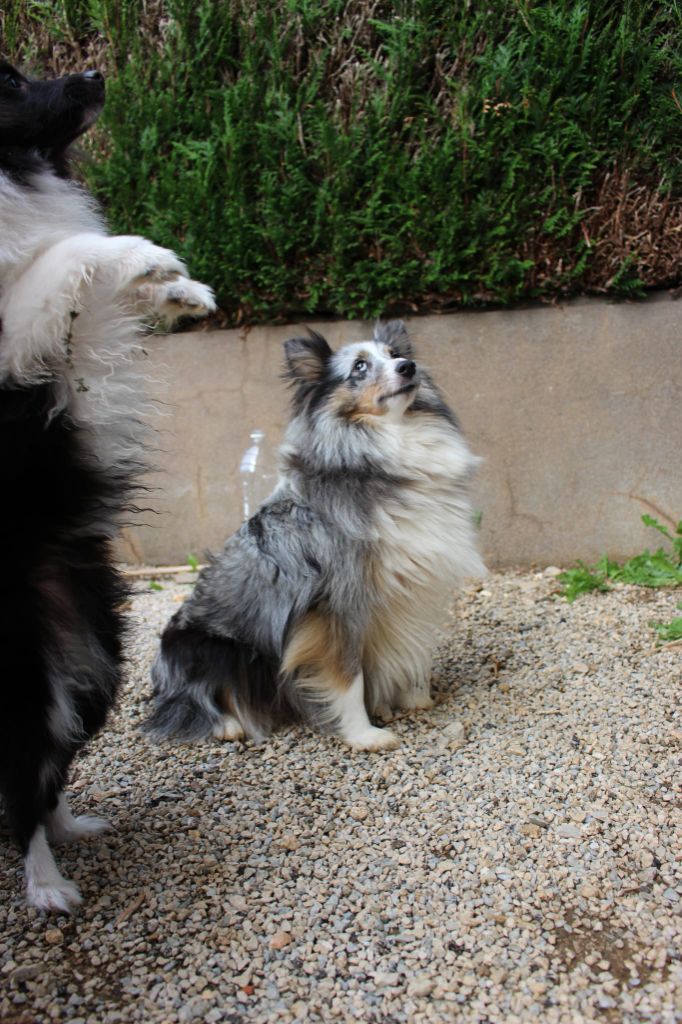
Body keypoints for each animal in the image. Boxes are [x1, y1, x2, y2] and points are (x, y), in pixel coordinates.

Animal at [0, 61, 215, 913]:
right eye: (8, 80)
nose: (95, 71)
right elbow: (64, 251)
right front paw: (149, 254)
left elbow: (74, 270)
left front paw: (177, 289)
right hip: (25, 671)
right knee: (18, 784)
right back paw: (46, 885)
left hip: (96, 658)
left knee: (45, 768)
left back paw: (71, 830)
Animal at [144, 323, 483, 757]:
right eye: (359, 367)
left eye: (393, 354)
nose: (409, 366)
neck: (380, 444)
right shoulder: (336, 605)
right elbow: (349, 675)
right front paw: (363, 734)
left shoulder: (404, 594)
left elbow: (406, 648)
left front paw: (411, 697)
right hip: (206, 649)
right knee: (191, 702)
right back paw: (227, 725)